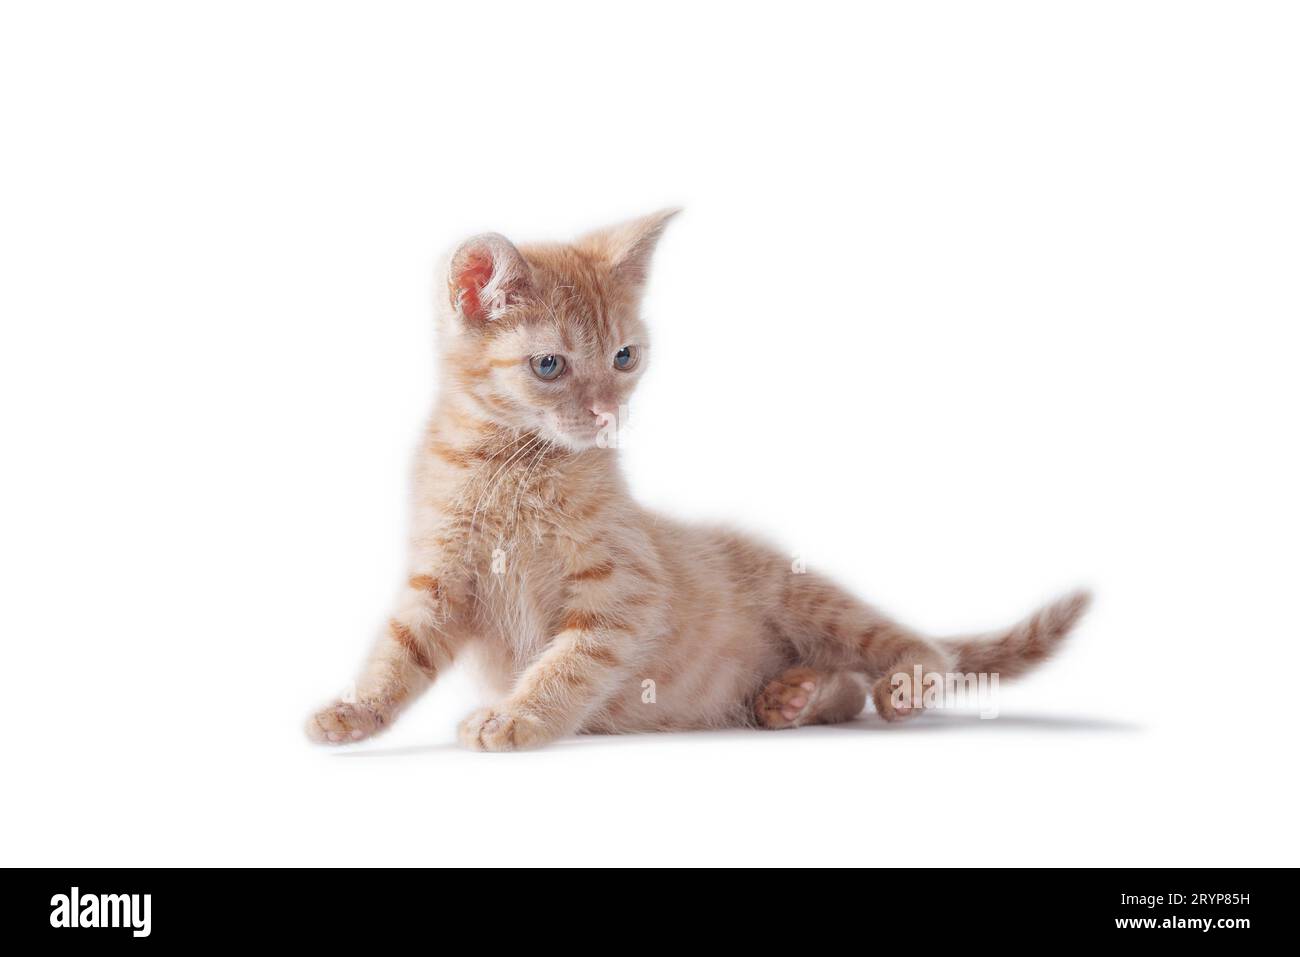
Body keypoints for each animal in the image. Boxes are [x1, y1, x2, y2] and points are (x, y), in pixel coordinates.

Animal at [304, 213, 1086, 748]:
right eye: (550, 365)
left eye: (624, 357)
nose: (608, 411)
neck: (512, 465)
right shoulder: (439, 580)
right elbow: (396, 654)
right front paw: (355, 709)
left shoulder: (626, 589)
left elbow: (571, 661)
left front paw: (519, 713)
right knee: (846, 689)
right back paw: (791, 696)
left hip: (817, 602)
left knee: (917, 651)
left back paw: (894, 685)